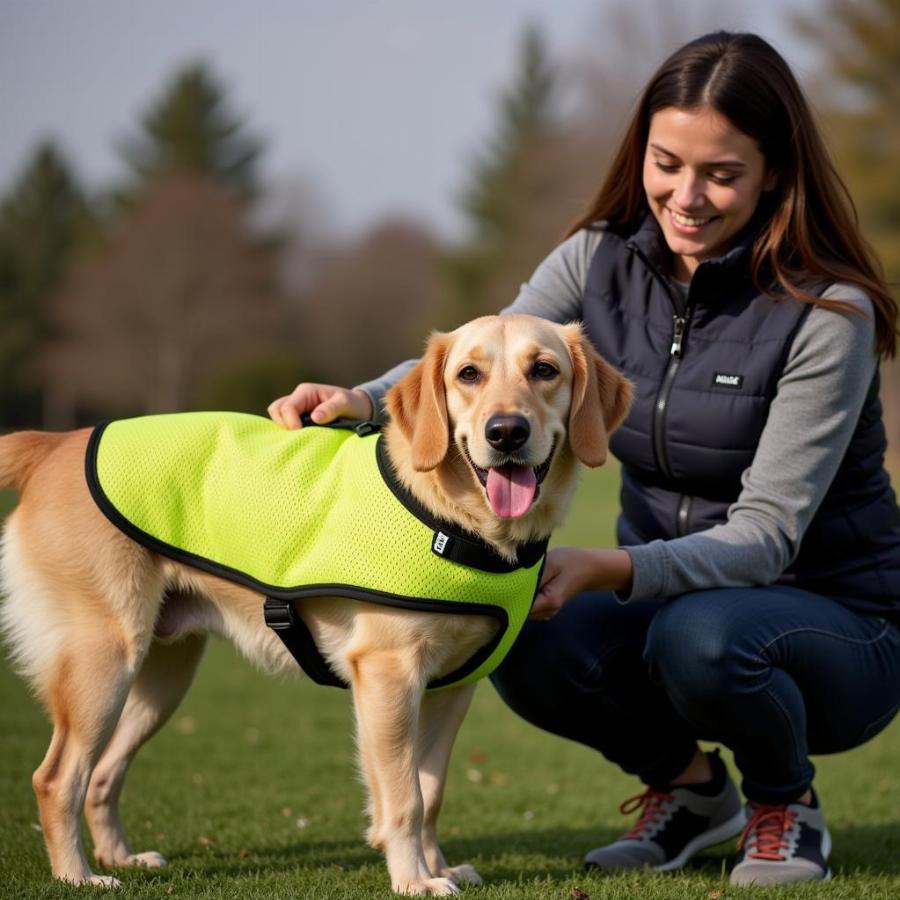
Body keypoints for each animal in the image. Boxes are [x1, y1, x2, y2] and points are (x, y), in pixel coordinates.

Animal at [1, 314, 632, 892]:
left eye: (544, 370)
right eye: (468, 375)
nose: (506, 432)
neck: (460, 523)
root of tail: (57, 441)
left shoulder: (452, 689)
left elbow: (430, 793)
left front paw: (438, 866)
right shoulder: (388, 676)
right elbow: (403, 797)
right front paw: (414, 879)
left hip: (162, 675)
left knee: (102, 774)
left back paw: (119, 856)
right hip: (104, 659)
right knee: (56, 778)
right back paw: (79, 876)